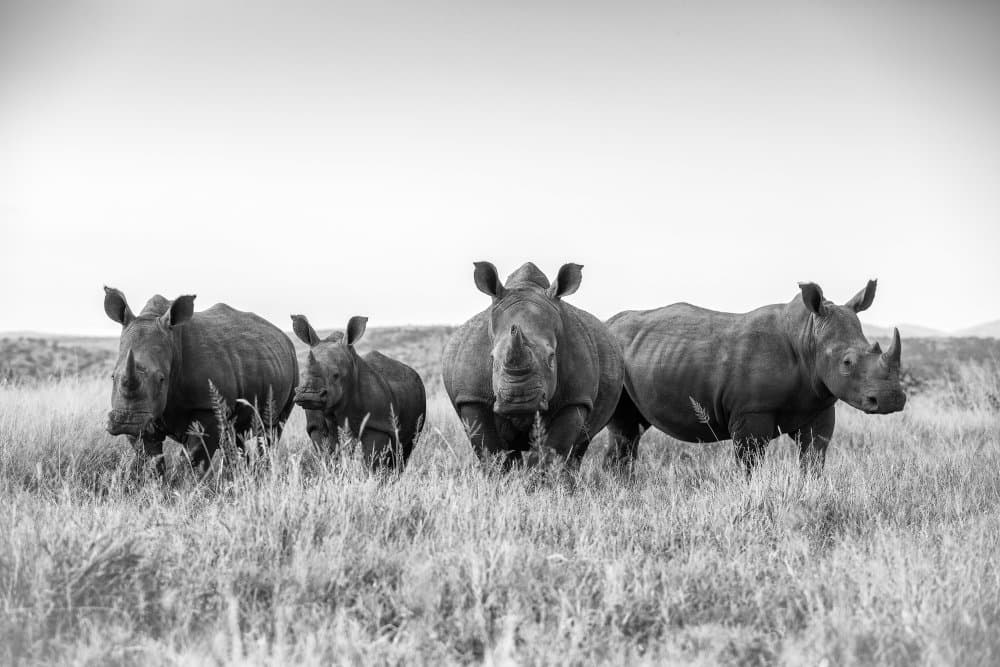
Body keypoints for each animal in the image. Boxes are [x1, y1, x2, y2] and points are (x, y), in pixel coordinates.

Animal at [103, 287, 298, 469]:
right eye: (113, 377)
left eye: (161, 379)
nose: (126, 422)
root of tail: (284, 337)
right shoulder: (147, 413)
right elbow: (151, 457)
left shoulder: (207, 405)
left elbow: (194, 457)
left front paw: (185, 482)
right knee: (235, 436)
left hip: (293, 366)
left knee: (272, 430)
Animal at [291, 314, 426, 471]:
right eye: (302, 373)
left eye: (336, 375)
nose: (308, 395)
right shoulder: (316, 425)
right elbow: (326, 454)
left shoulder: (377, 425)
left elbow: (371, 461)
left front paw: (371, 477)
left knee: (406, 449)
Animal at [442, 262, 624, 467]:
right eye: (492, 358)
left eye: (552, 358)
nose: (519, 400)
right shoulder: (472, 397)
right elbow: (490, 449)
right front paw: (504, 475)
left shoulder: (576, 399)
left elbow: (553, 449)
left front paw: (537, 475)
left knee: (581, 443)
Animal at [605, 280, 907, 475]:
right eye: (847, 362)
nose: (892, 399)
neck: (808, 337)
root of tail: (607, 323)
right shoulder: (752, 412)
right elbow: (749, 465)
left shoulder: (818, 406)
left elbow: (813, 457)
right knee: (623, 433)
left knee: (628, 432)